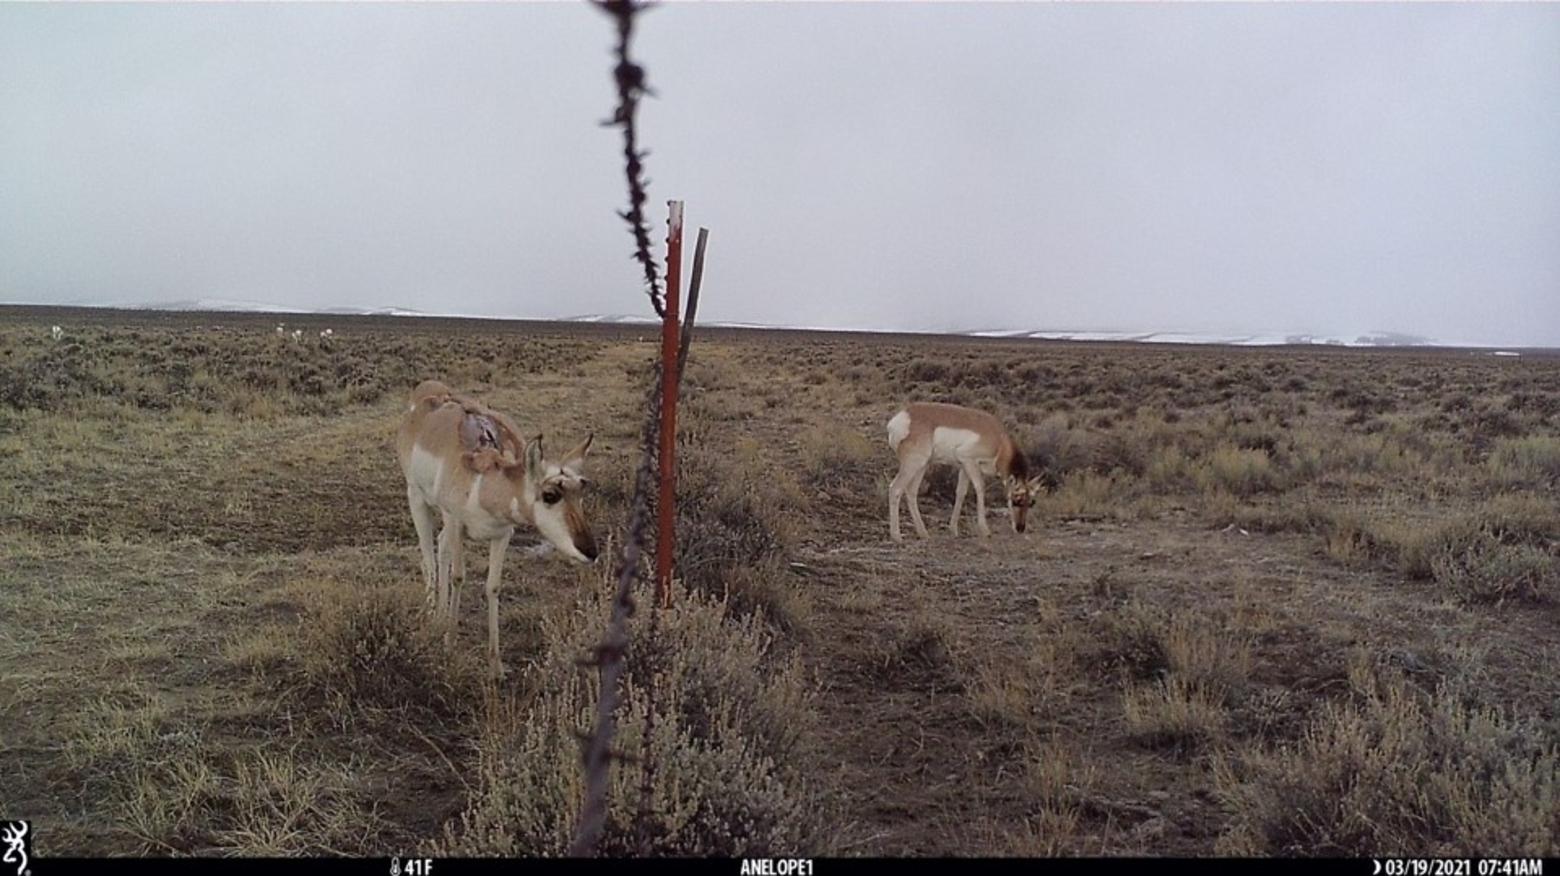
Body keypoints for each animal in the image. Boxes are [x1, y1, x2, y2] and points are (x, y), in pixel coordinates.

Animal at [396, 377, 595, 676]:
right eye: (550, 494)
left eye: (581, 489)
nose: (590, 551)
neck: (483, 482)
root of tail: (428, 389)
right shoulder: (455, 521)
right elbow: (458, 577)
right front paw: (450, 647)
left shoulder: (502, 535)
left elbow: (493, 586)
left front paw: (496, 665)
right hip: (417, 499)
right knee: (428, 559)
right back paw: (432, 618)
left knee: (440, 549)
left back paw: (440, 616)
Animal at [886, 402, 1042, 539]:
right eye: (1016, 500)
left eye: (1031, 502)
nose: (1020, 528)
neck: (1000, 442)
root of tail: (902, 417)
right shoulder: (969, 461)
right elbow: (980, 488)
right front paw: (985, 530)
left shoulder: (964, 467)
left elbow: (961, 493)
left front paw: (953, 529)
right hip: (913, 464)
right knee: (895, 488)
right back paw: (897, 536)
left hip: (922, 465)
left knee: (911, 491)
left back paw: (923, 533)